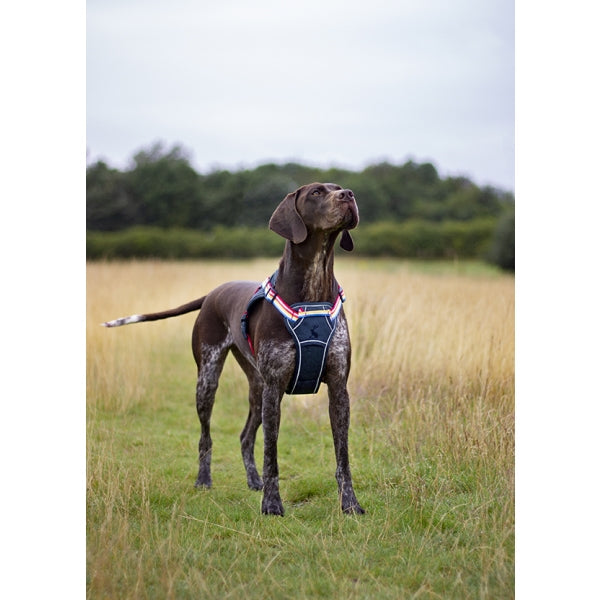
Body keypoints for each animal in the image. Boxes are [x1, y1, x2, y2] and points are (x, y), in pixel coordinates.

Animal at [102, 182, 364, 516]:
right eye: (317, 193)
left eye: (337, 188)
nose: (349, 195)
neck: (314, 286)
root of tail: (212, 293)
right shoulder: (275, 389)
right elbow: (271, 456)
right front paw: (272, 504)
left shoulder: (338, 389)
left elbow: (343, 458)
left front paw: (350, 504)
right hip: (209, 380)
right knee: (206, 437)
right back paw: (204, 479)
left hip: (256, 389)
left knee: (244, 437)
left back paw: (253, 480)